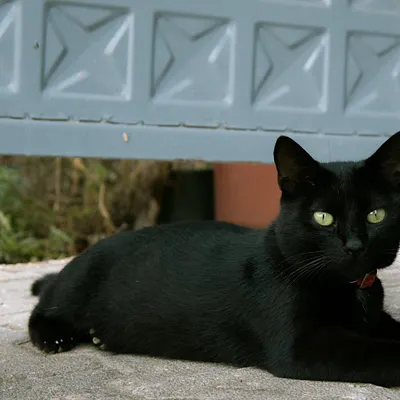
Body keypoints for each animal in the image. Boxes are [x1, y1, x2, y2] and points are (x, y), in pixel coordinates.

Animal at [29, 132, 400, 387]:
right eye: (323, 217)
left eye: (375, 216)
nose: (355, 245)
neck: (351, 289)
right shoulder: (299, 345)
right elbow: (369, 350)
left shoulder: (373, 319)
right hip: (77, 286)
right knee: (43, 307)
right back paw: (54, 337)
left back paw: (100, 337)